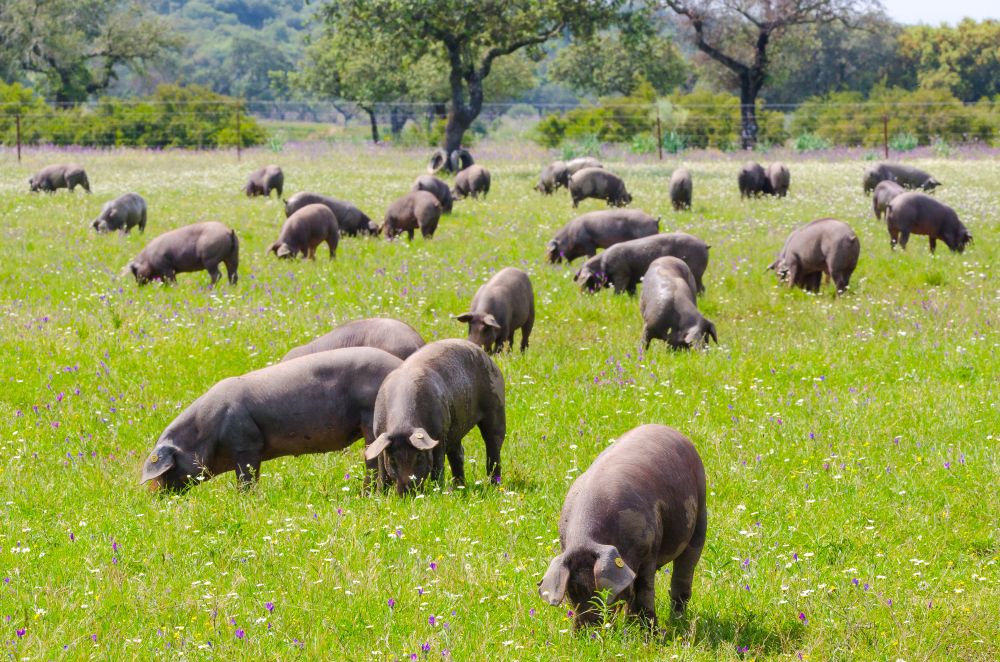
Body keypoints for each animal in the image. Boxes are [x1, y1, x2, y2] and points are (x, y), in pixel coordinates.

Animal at [140, 347, 403, 491]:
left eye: (167, 470)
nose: (152, 494)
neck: (205, 431)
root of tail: (399, 365)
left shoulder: (246, 444)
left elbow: (246, 478)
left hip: (369, 417)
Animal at [363, 339, 505, 495]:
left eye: (418, 456)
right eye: (393, 460)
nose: (407, 492)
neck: (403, 424)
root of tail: (485, 355)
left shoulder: (440, 434)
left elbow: (438, 466)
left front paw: (437, 491)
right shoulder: (379, 435)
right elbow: (382, 471)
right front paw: (379, 495)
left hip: (496, 406)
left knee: (494, 446)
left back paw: (494, 486)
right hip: (455, 427)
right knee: (458, 454)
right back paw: (459, 488)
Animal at [538, 424, 707, 627]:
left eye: (601, 592)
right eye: (572, 593)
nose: (588, 631)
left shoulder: (649, 549)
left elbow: (645, 590)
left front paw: (650, 632)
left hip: (700, 509)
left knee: (684, 572)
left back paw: (677, 620)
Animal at [575, 232, 710, 296]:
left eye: (587, 281)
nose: (583, 296)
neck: (603, 265)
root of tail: (704, 244)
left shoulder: (622, 274)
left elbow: (618, 290)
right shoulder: (631, 281)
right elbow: (632, 293)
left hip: (695, 271)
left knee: (700, 288)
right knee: (703, 287)